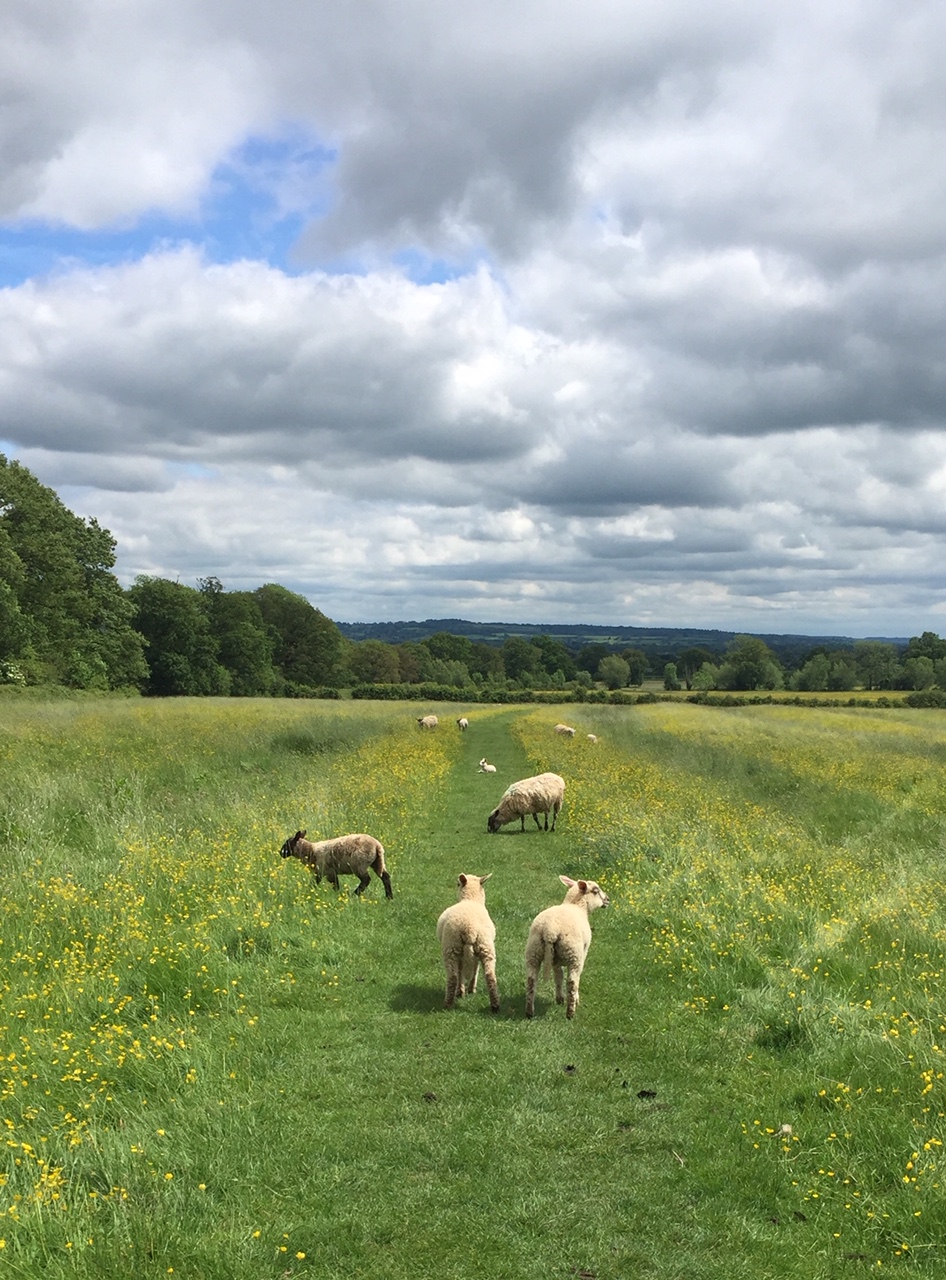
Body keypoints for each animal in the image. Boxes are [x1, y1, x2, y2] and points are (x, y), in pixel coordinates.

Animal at [436, 873, 500, 1011]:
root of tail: (470, 928)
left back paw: (447, 1004)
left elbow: (461, 971)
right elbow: (475, 968)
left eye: (457, 884)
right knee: (490, 976)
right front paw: (470, 989)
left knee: (453, 976)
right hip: (485, 946)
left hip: (451, 946)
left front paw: (461, 991)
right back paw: (495, 1006)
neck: (471, 900)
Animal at [525, 875, 609, 1019]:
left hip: (534, 951)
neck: (576, 906)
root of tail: (550, 929)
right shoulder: (583, 954)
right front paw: (574, 999)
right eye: (596, 891)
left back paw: (529, 1012)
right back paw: (571, 1013)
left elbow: (558, 976)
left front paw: (559, 999)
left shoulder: (555, 961)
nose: (608, 900)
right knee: (572, 982)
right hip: (573, 954)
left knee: (531, 980)